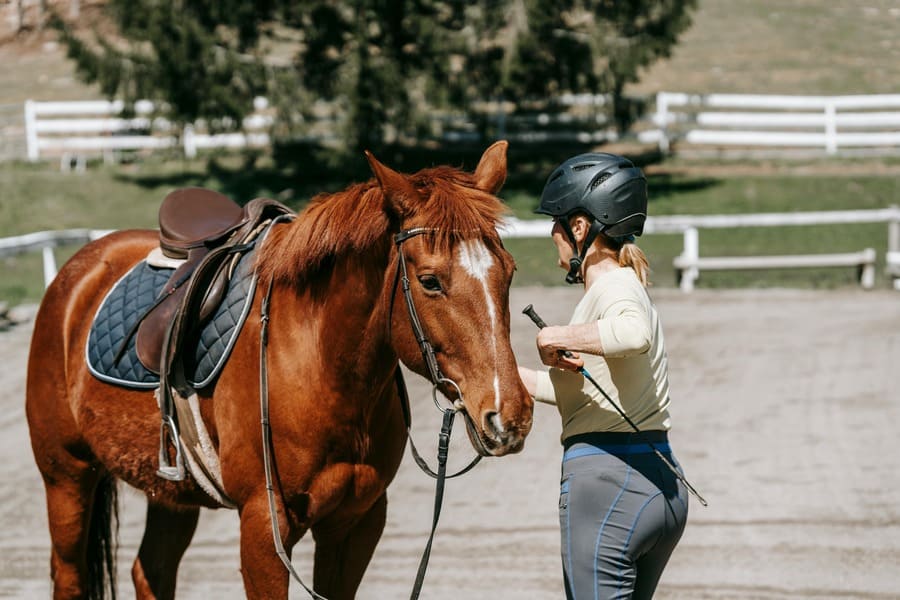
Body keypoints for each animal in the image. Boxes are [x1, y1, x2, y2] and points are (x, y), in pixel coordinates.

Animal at [26, 142, 536, 600]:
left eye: (509, 271)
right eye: (430, 281)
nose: (509, 414)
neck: (321, 368)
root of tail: (79, 270)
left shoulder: (357, 522)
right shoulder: (262, 528)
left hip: (168, 491)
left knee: (151, 571)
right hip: (66, 476)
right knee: (69, 577)